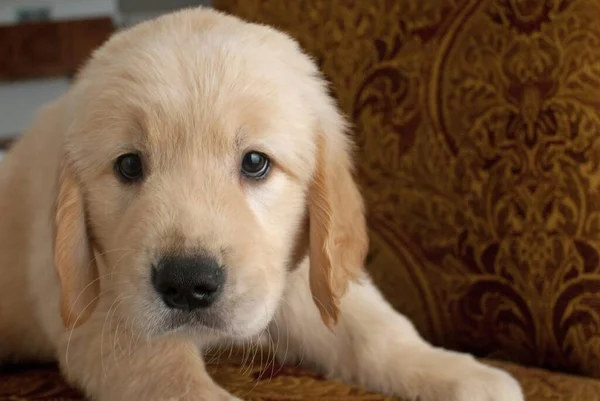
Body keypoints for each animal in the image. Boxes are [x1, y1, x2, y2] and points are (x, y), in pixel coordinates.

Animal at [0, 7, 524, 400]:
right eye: (129, 166)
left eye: (255, 162)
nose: (186, 283)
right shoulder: (99, 308)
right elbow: (169, 378)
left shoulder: (305, 269)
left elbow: (373, 329)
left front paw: (461, 374)